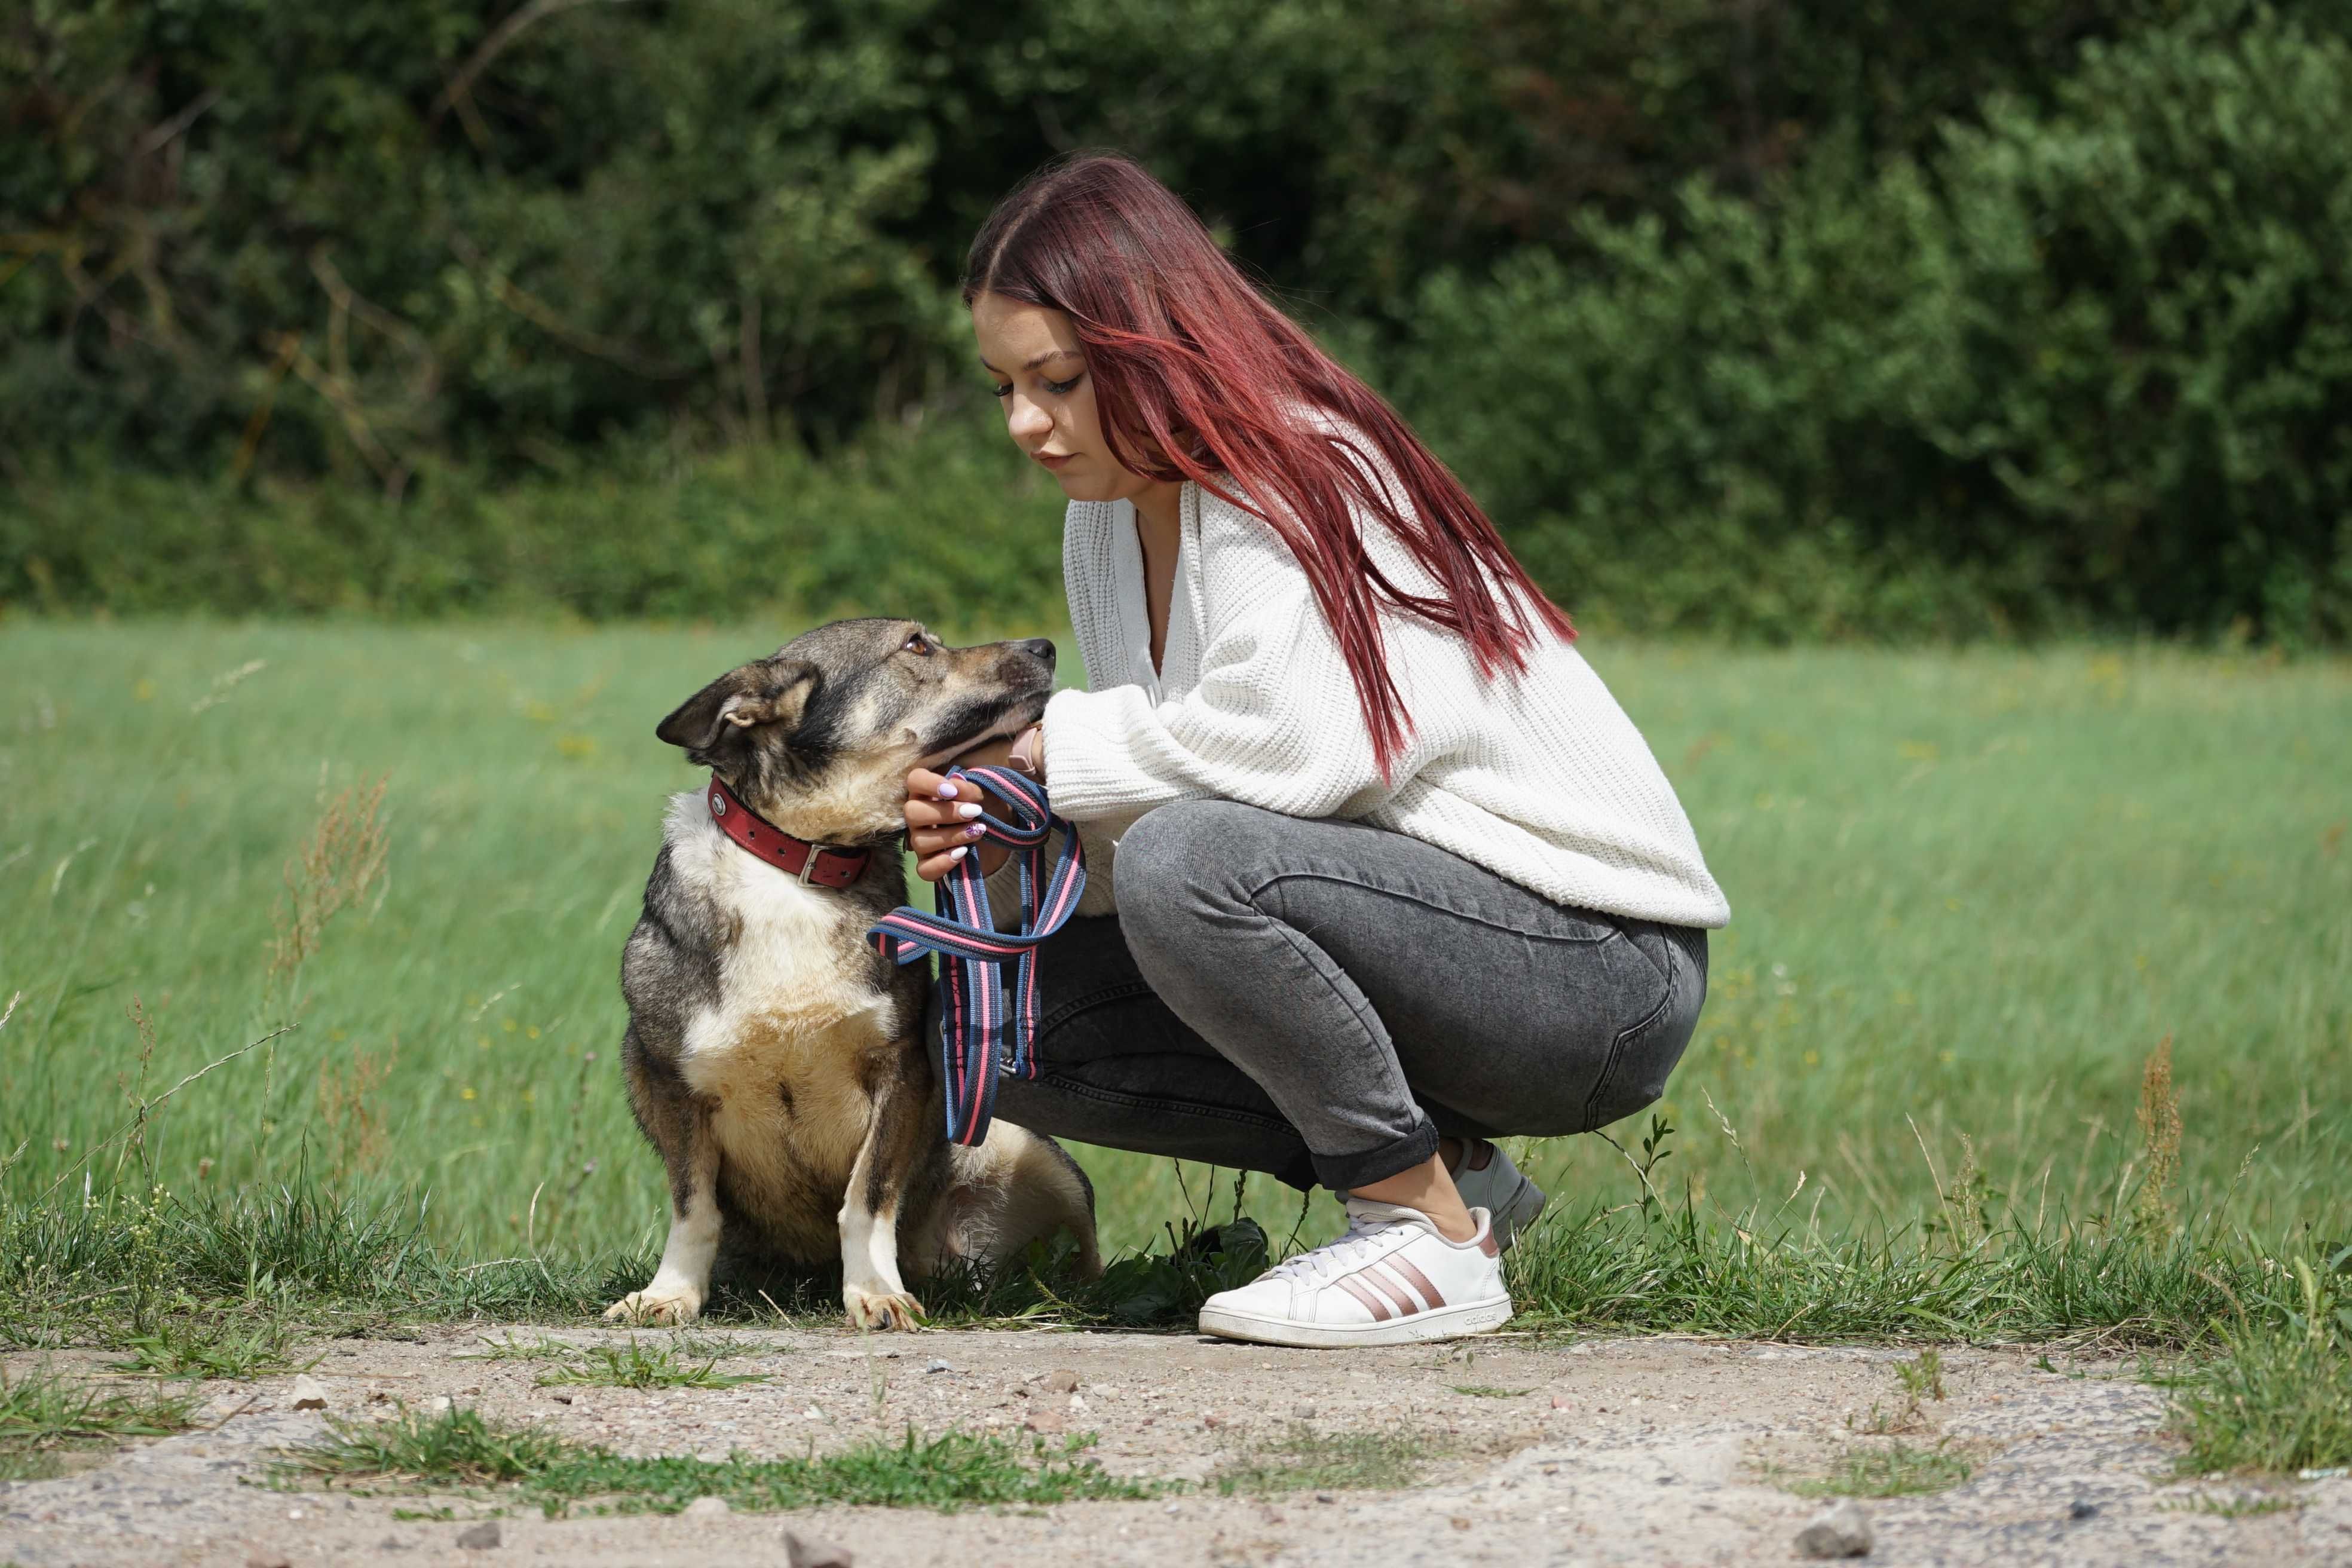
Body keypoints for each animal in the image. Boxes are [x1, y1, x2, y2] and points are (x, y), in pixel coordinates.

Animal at [607, 611, 1101, 1325]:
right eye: (917, 644)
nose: (1046, 645)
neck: (802, 868)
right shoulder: (670, 1080)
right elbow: (693, 1207)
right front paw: (671, 1293)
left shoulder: (901, 1072)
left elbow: (867, 1200)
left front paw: (875, 1291)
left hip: (1029, 1151)